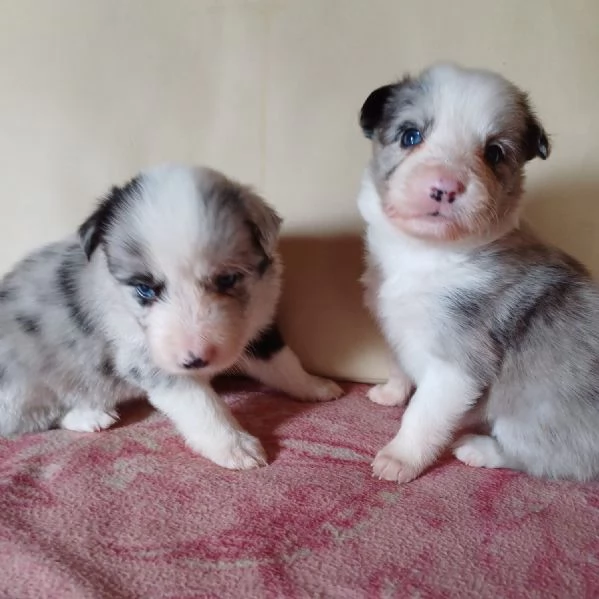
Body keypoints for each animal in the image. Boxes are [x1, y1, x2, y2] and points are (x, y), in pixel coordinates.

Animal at [0, 166, 342, 472]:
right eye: (144, 289)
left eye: (227, 279)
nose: (196, 359)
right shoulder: (148, 359)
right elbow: (201, 404)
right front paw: (233, 444)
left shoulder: (260, 325)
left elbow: (284, 362)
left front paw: (315, 386)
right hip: (22, 388)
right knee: (29, 419)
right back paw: (88, 415)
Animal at [358, 62, 599, 482]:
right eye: (410, 135)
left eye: (494, 153)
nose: (444, 186)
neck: (426, 253)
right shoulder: (393, 324)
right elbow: (397, 362)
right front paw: (389, 393)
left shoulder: (458, 365)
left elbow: (422, 415)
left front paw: (399, 458)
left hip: (531, 414)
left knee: (547, 458)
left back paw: (478, 449)